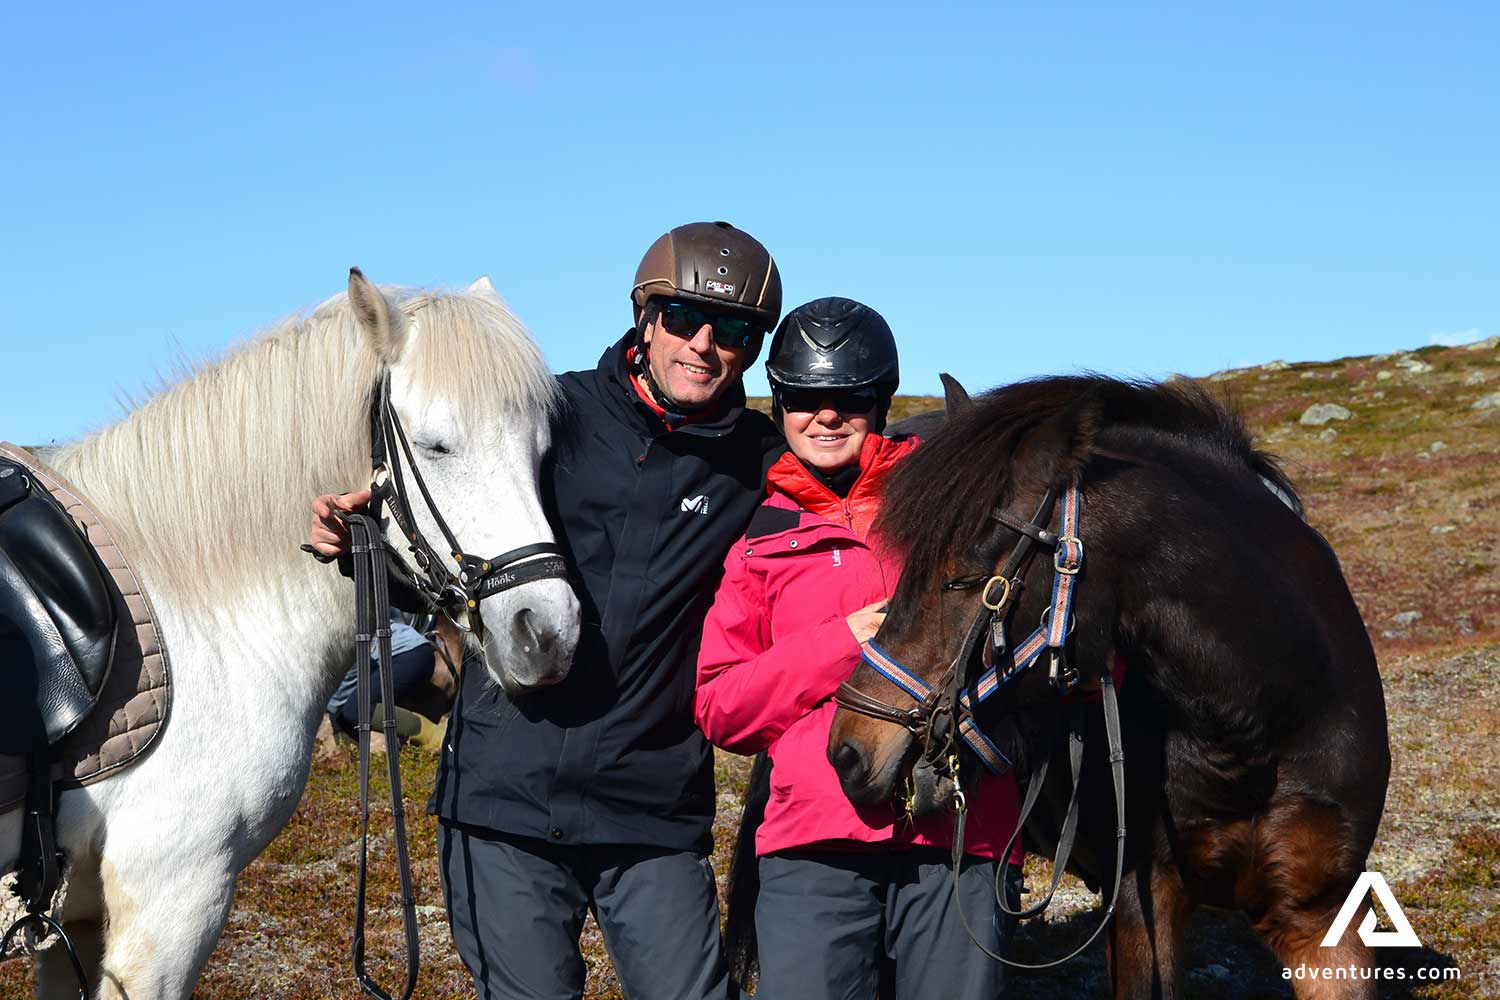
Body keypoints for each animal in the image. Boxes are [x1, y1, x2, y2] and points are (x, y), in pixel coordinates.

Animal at [1, 270, 581, 999]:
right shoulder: (169, 902)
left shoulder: (73, 924)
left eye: (541, 451)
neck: (193, 610)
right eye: (436, 445)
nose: (548, 635)